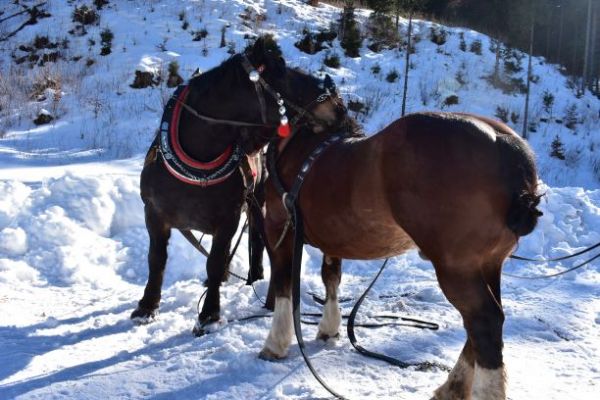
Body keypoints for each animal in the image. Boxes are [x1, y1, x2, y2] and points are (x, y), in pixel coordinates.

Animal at [133, 37, 344, 332]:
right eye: (281, 71)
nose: (338, 105)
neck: (197, 165)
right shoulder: (154, 215)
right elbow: (156, 260)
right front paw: (147, 306)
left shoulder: (228, 218)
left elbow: (214, 260)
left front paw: (209, 314)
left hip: (257, 202)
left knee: (259, 239)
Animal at [260, 110, 540, 400]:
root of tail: (505, 145)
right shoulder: (331, 239)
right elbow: (331, 278)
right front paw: (329, 327)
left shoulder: (278, 229)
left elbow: (284, 283)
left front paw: (276, 343)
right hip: (489, 263)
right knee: (483, 324)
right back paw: (451, 387)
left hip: (456, 268)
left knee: (484, 322)